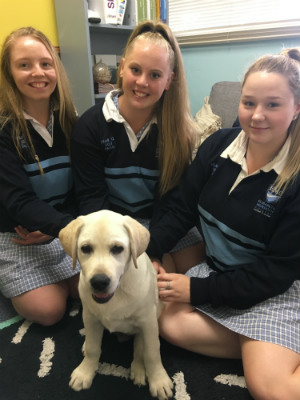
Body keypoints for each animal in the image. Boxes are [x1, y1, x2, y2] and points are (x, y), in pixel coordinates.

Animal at [58, 209, 172, 400]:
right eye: (85, 248)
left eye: (118, 249)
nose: (99, 282)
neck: (117, 292)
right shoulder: (90, 317)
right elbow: (93, 348)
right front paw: (85, 372)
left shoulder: (148, 322)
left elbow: (152, 352)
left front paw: (159, 380)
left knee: (140, 347)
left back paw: (139, 370)